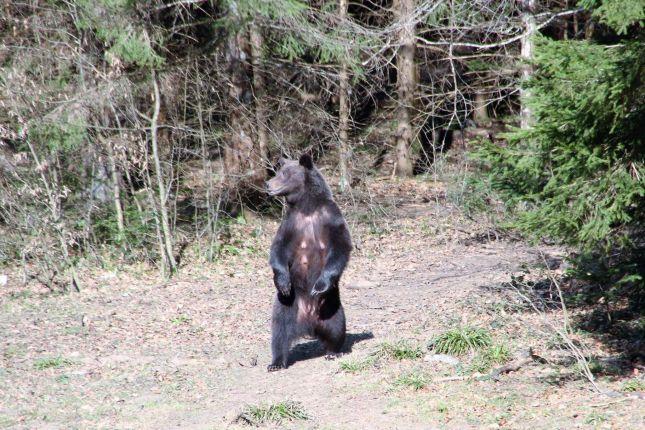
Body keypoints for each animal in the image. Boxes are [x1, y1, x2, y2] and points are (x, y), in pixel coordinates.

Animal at [262, 154, 352, 370]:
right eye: (279, 171)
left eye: (284, 174)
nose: (268, 183)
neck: (308, 206)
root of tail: (308, 324)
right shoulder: (291, 224)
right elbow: (278, 249)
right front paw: (283, 282)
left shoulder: (330, 219)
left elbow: (340, 248)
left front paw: (319, 285)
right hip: (288, 305)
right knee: (279, 331)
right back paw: (276, 362)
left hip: (330, 305)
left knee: (336, 325)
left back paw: (333, 352)